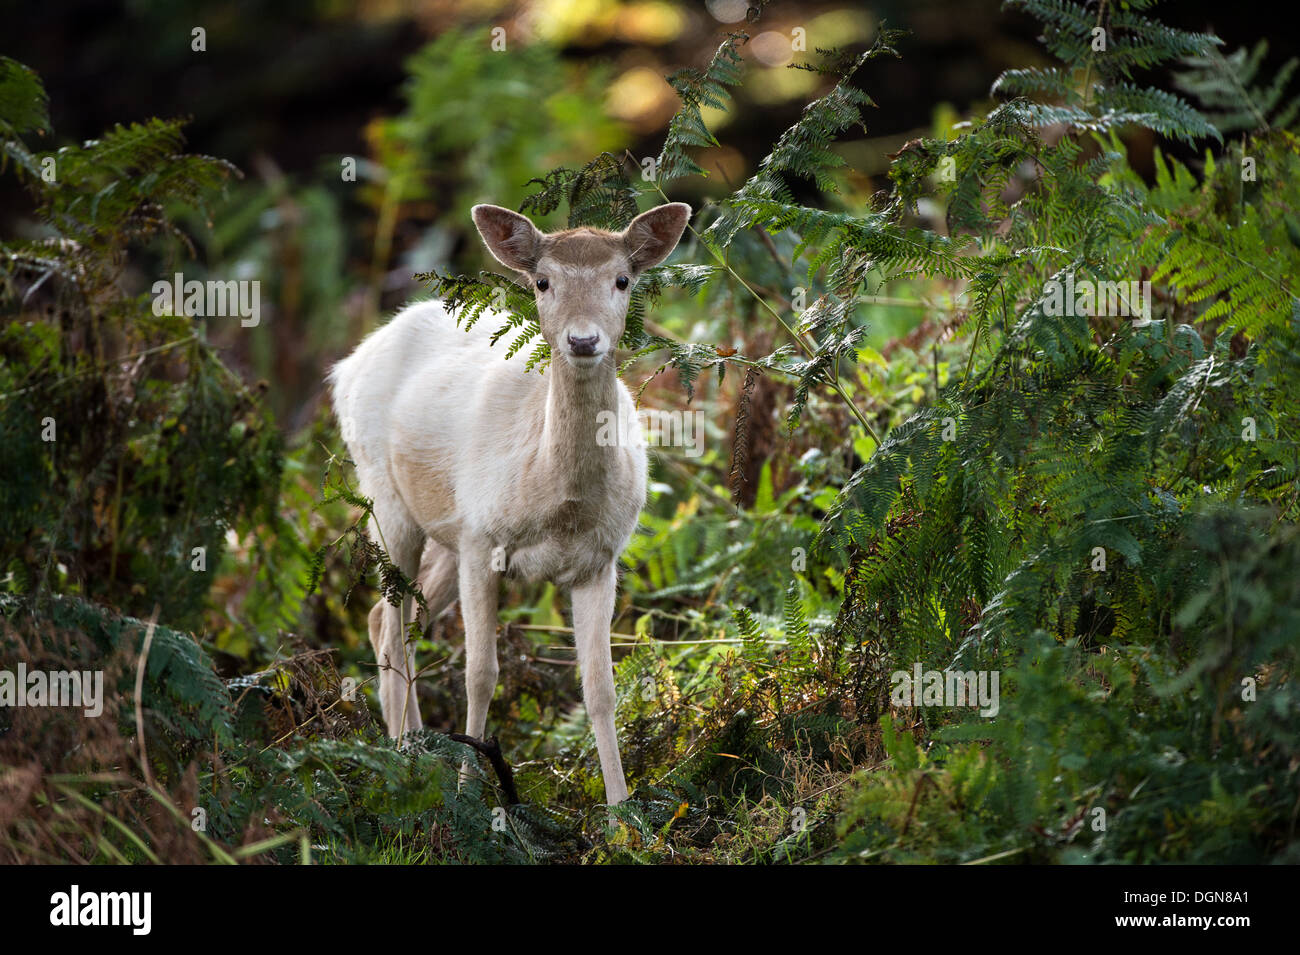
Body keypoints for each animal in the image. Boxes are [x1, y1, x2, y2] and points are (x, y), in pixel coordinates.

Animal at [327, 201, 691, 805]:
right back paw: (404, 757)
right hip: (385, 498)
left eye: (622, 280)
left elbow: (600, 687)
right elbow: (481, 674)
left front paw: (621, 808)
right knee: (394, 624)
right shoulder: (482, 544)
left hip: (446, 530)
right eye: (543, 281)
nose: (583, 340)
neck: (560, 500)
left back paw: (414, 748)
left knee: (388, 622)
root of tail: (346, 365)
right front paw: (468, 791)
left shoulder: (601, 560)